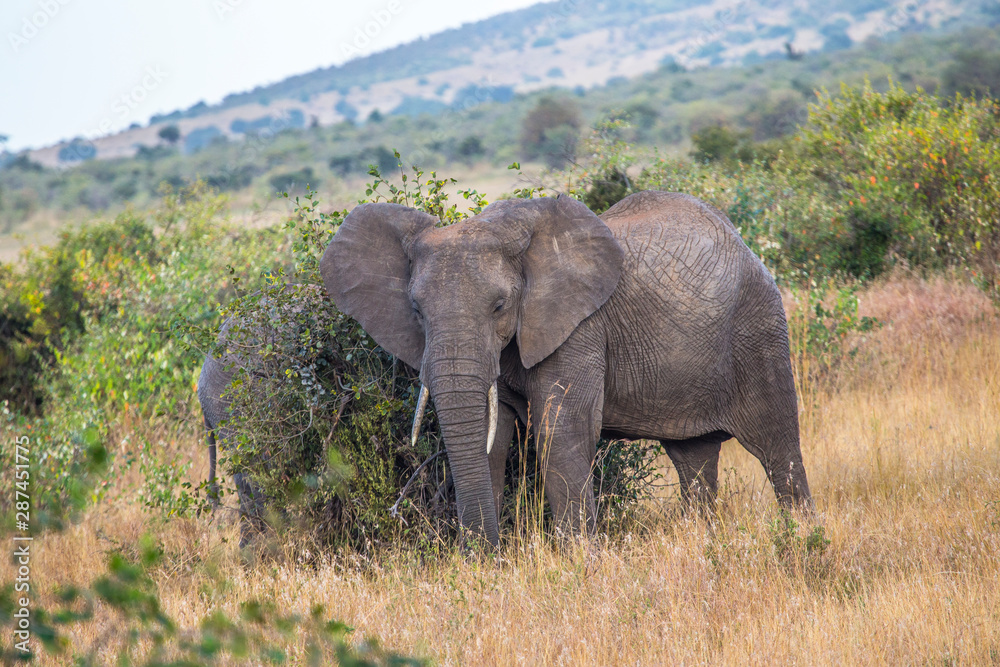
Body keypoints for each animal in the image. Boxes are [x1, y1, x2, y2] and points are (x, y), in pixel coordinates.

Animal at [320, 191, 812, 547]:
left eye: (500, 306)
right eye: (417, 311)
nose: (486, 553)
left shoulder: (579, 328)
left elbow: (562, 432)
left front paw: (580, 563)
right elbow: (494, 437)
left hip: (759, 329)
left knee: (778, 448)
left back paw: (803, 538)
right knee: (694, 458)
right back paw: (702, 541)